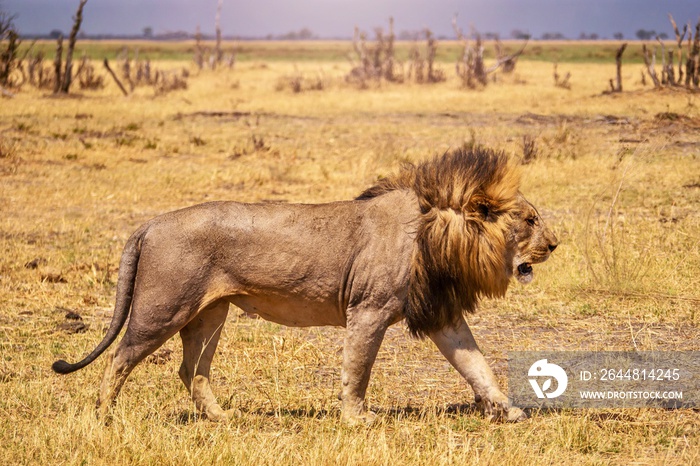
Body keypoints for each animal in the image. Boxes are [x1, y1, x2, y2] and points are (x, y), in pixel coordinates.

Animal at [52, 147, 556, 424]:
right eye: (530, 220)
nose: (555, 244)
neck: (440, 236)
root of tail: (150, 223)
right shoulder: (368, 310)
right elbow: (358, 369)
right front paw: (356, 419)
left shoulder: (440, 313)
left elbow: (477, 365)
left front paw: (507, 410)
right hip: (163, 309)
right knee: (120, 357)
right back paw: (104, 417)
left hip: (210, 313)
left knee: (191, 370)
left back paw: (223, 418)